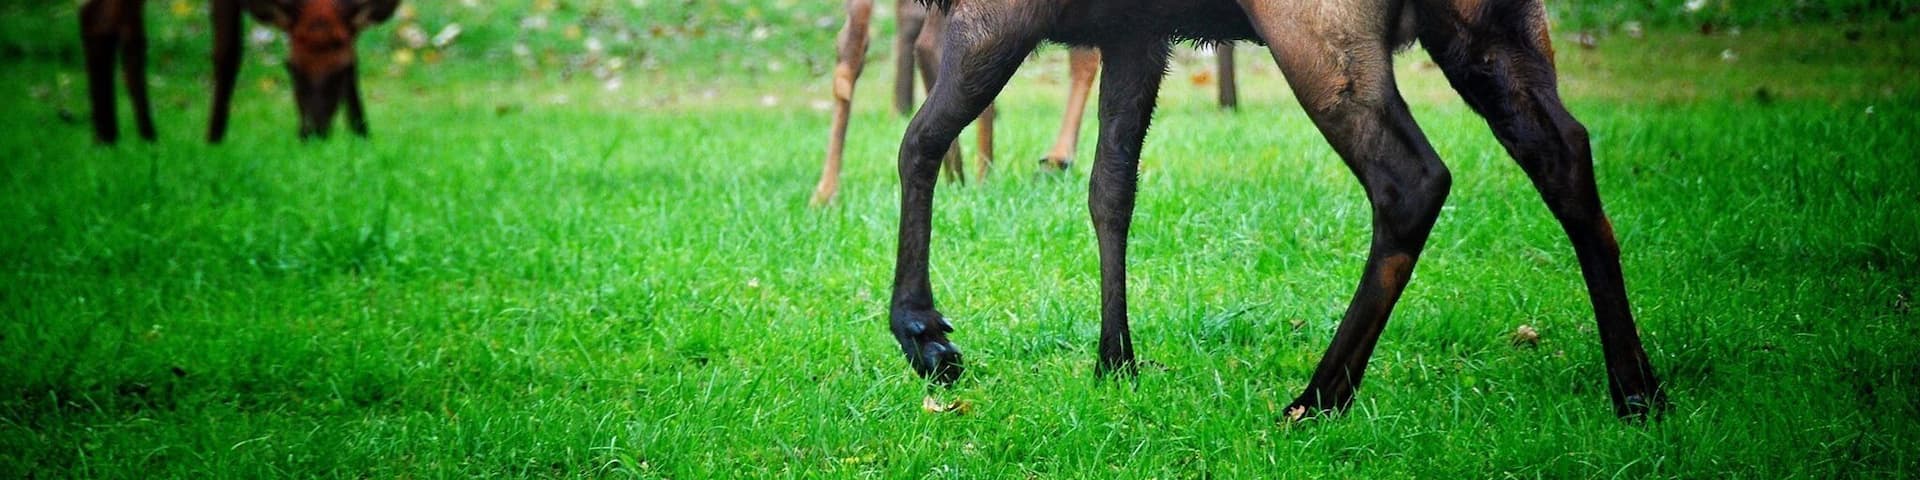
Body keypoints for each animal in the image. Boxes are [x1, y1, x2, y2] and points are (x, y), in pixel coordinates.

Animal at [79, 0, 400, 144]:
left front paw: (362, 133)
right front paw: (214, 139)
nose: (314, 132)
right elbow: (229, 53)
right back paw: (114, 136)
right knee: (104, 21)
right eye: (290, 68)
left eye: (344, 70)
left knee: (119, 29)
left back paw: (132, 135)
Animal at [883, 0, 1669, 420]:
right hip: (1493, 27)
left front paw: (923, 332)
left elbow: (917, 142)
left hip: (1317, 30)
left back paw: (1319, 396)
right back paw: (1637, 389)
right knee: (1566, 155)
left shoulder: (1000, 13)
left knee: (1412, 179)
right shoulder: (1135, 30)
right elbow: (1111, 190)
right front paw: (1116, 360)